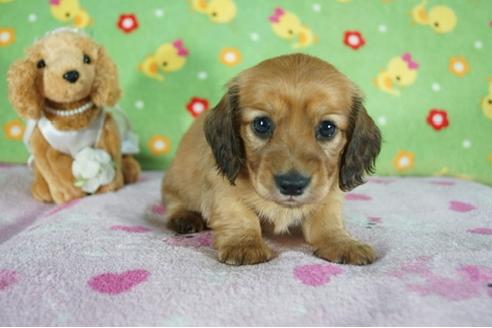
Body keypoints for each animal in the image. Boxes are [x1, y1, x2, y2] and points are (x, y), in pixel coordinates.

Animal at [161, 52, 380, 266]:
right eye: (262, 124)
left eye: (327, 128)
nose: (292, 185)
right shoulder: (223, 189)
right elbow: (240, 215)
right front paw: (245, 244)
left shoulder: (329, 194)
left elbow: (329, 222)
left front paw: (342, 243)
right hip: (177, 185)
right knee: (174, 203)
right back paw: (185, 218)